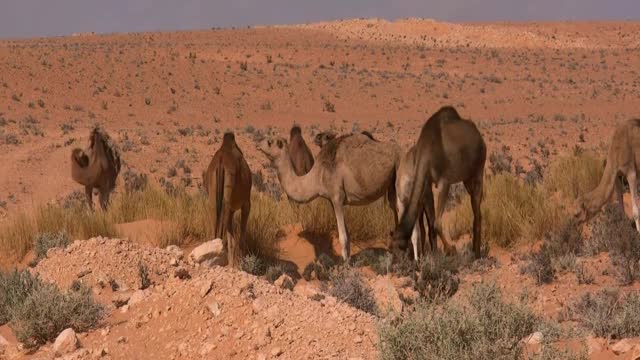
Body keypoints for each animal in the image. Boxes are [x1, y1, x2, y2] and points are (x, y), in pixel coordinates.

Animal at [202, 132, 252, 268]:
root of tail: (220, 162)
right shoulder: (246, 203)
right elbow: (241, 234)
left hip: (214, 198)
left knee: (215, 224)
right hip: (228, 201)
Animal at [258, 134, 398, 260]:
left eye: (270, 142)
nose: (258, 144)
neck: (317, 176)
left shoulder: (337, 197)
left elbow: (343, 238)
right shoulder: (332, 200)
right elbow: (348, 237)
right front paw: (348, 263)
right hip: (392, 189)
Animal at [390, 106, 484, 258]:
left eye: (400, 248)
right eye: (390, 248)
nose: (396, 262)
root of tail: (479, 136)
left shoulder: (444, 182)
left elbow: (436, 224)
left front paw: (451, 250)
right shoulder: (427, 183)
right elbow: (431, 225)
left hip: (478, 170)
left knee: (477, 211)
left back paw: (477, 254)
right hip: (466, 178)